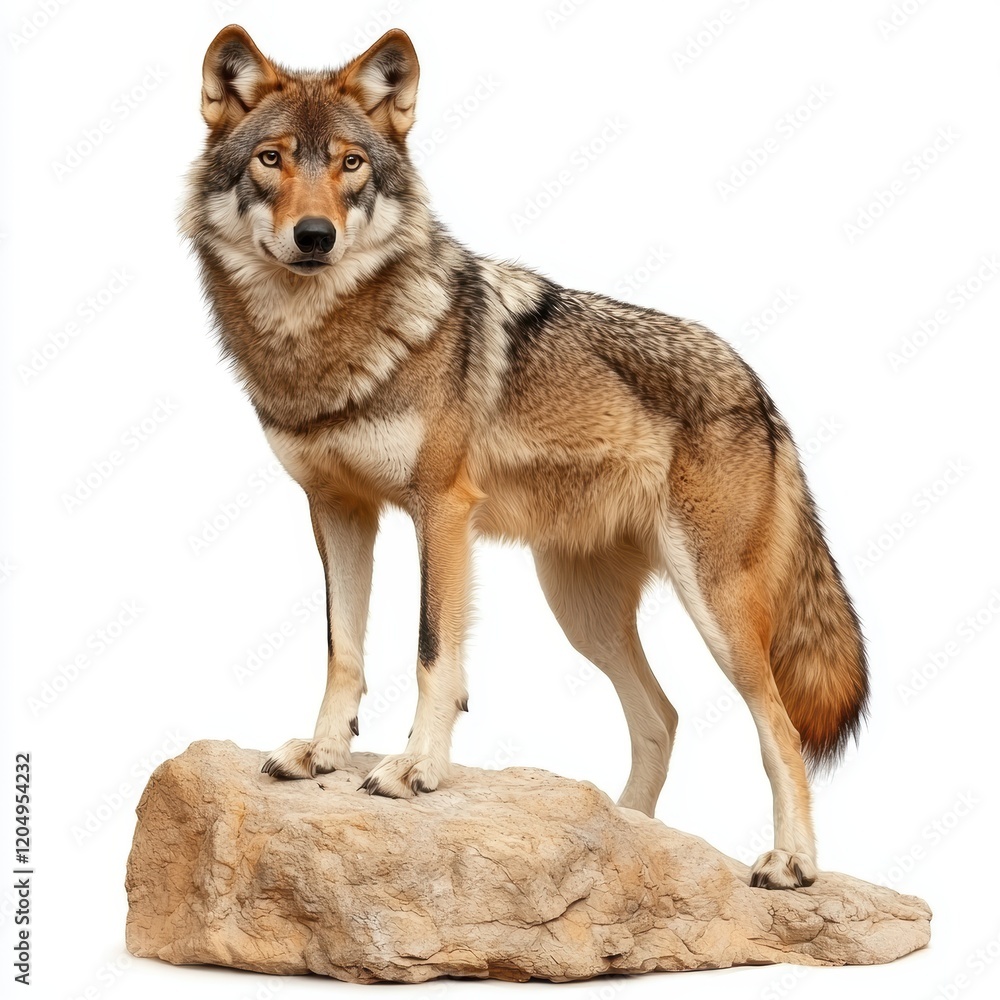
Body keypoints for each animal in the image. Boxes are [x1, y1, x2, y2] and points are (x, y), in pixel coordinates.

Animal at [183, 25, 869, 890]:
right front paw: (323, 752)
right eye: (272, 159)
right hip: (582, 614)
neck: (322, 345)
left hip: (714, 609)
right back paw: (629, 840)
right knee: (664, 715)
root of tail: (762, 388)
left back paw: (792, 862)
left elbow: (432, 653)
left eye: (351, 163)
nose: (315, 236)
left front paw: (415, 769)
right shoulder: (336, 511)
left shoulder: (440, 510)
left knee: (777, 726)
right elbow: (344, 648)